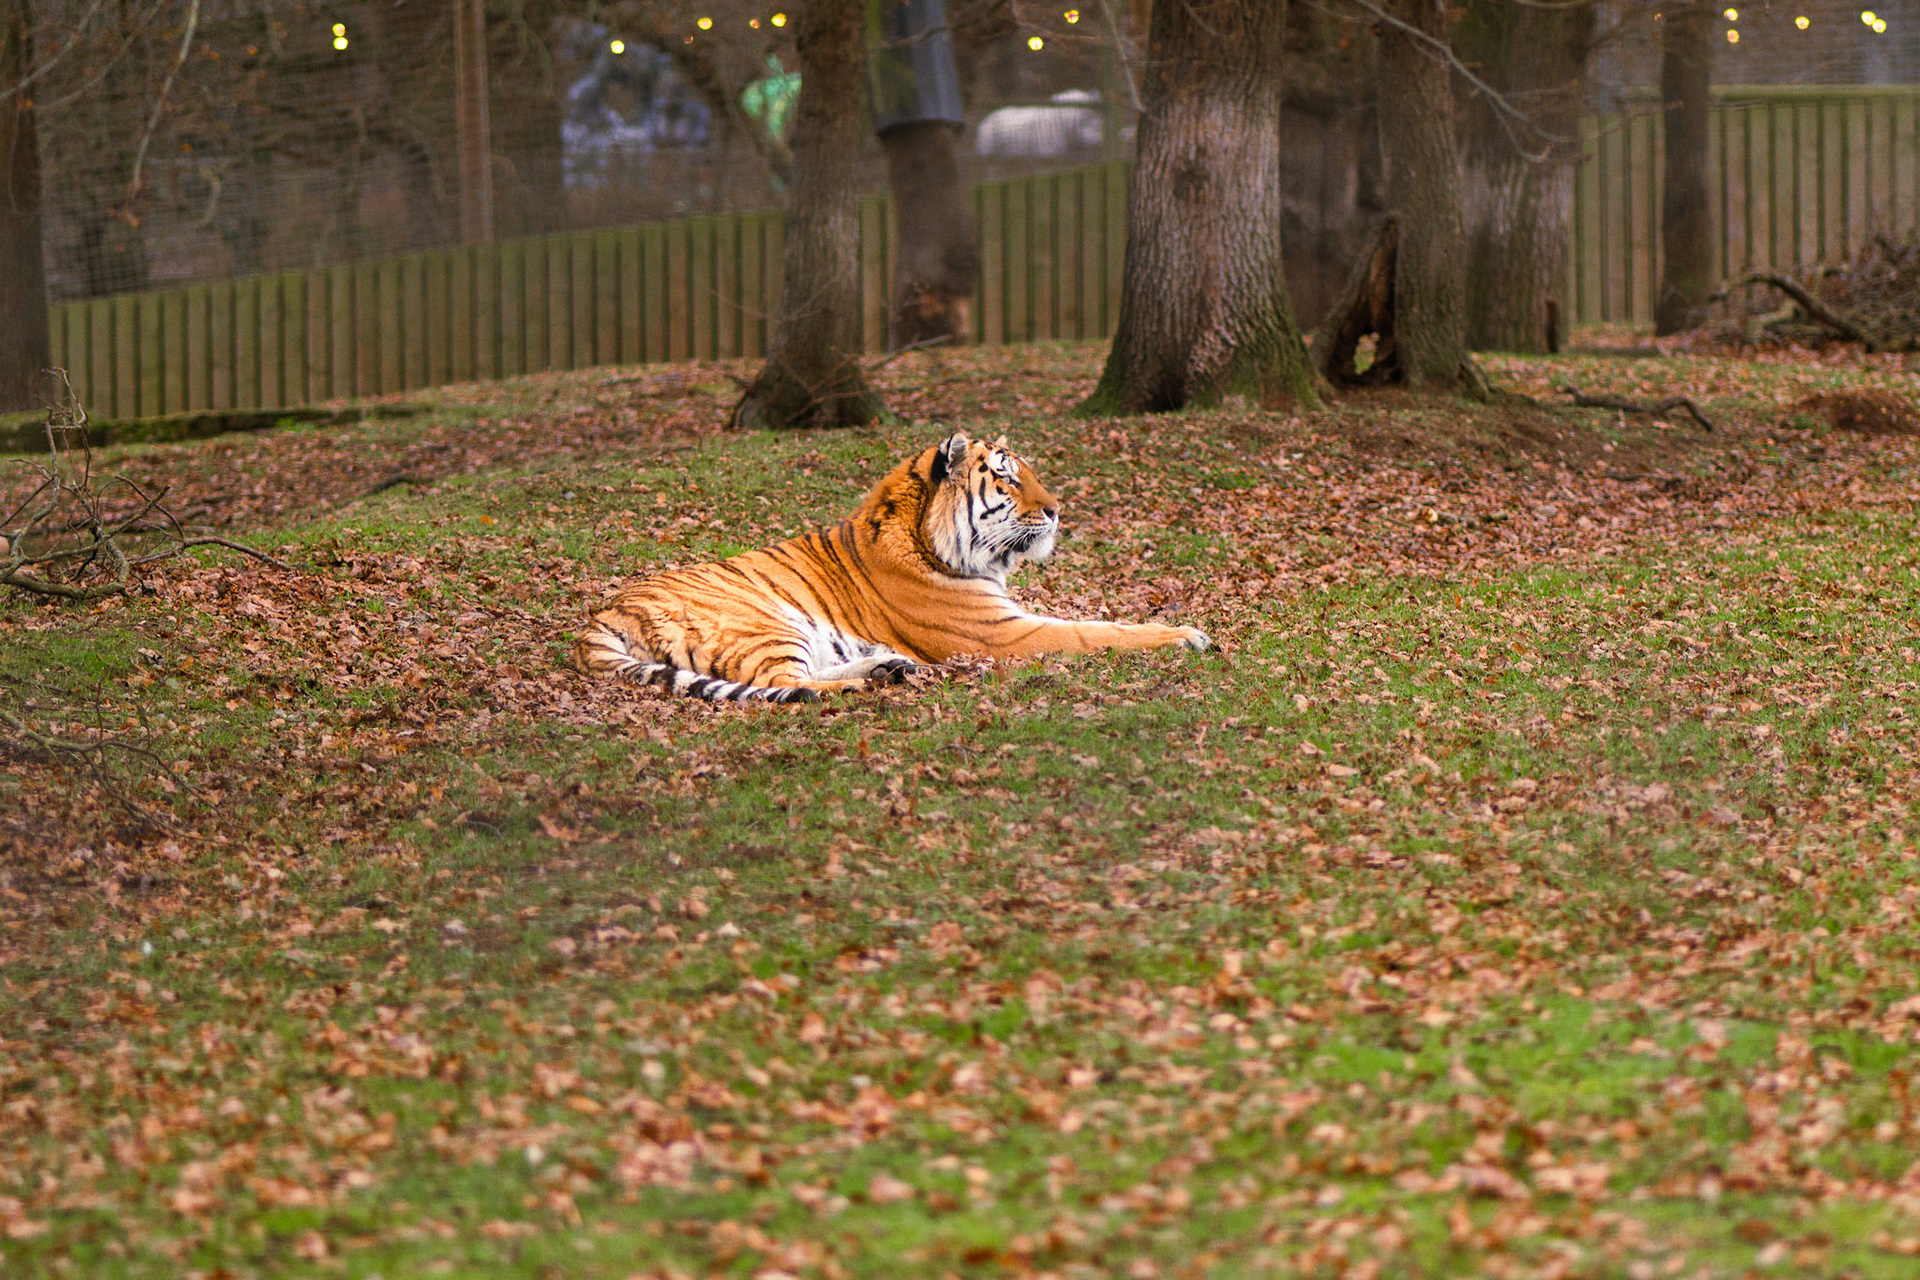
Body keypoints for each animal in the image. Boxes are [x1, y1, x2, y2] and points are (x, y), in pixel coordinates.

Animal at [573, 431, 1210, 703]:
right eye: (1006, 477)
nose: (1056, 510)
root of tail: (605, 613)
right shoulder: (1004, 634)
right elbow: (1095, 631)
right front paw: (1187, 635)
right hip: (763, 622)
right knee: (788, 685)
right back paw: (868, 681)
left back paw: (889, 668)